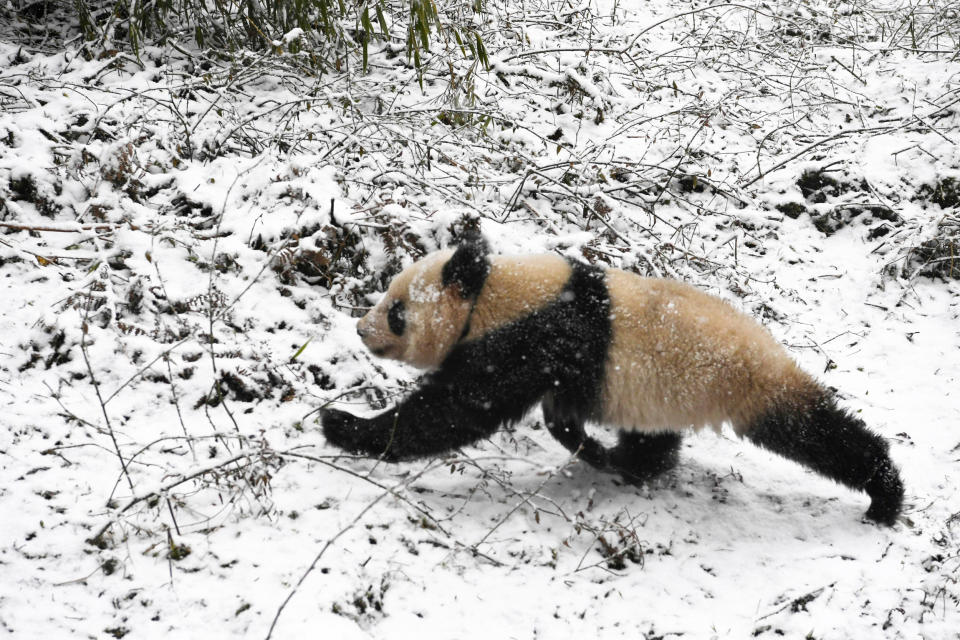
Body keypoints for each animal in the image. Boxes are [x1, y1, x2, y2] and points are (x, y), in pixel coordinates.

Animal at [324, 235, 908, 524]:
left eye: (397, 310)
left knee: (815, 431)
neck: (491, 292)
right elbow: (552, 412)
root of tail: (770, 349)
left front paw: (343, 424)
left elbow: (457, 409)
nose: (361, 328)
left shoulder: (531, 337)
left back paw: (884, 494)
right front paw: (578, 439)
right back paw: (624, 463)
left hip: (748, 384)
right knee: (654, 441)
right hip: (664, 396)